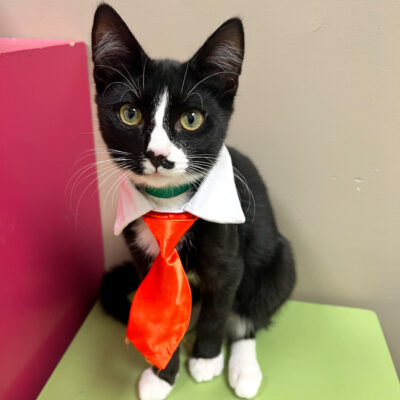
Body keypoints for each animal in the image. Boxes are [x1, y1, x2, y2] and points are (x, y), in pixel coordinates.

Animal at [92, 3, 296, 400]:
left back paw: (243, 368)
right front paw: (161, 375)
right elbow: (159, 309)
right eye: (129, 114)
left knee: (250, 313)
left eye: (191, 119)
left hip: (279, 260)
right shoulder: (142, 259)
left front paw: (206, 359)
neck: (168, 203)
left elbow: (220, 308)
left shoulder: (229, 255)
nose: (157, 155)